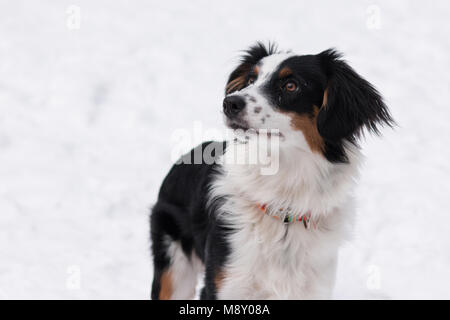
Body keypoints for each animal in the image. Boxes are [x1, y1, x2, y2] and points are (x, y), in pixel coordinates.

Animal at [149, 42, 392, 300]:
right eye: (250, 80)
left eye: (291, 85)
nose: (229, 103)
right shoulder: (223, 285)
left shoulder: (314, 288)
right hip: (174, 273)